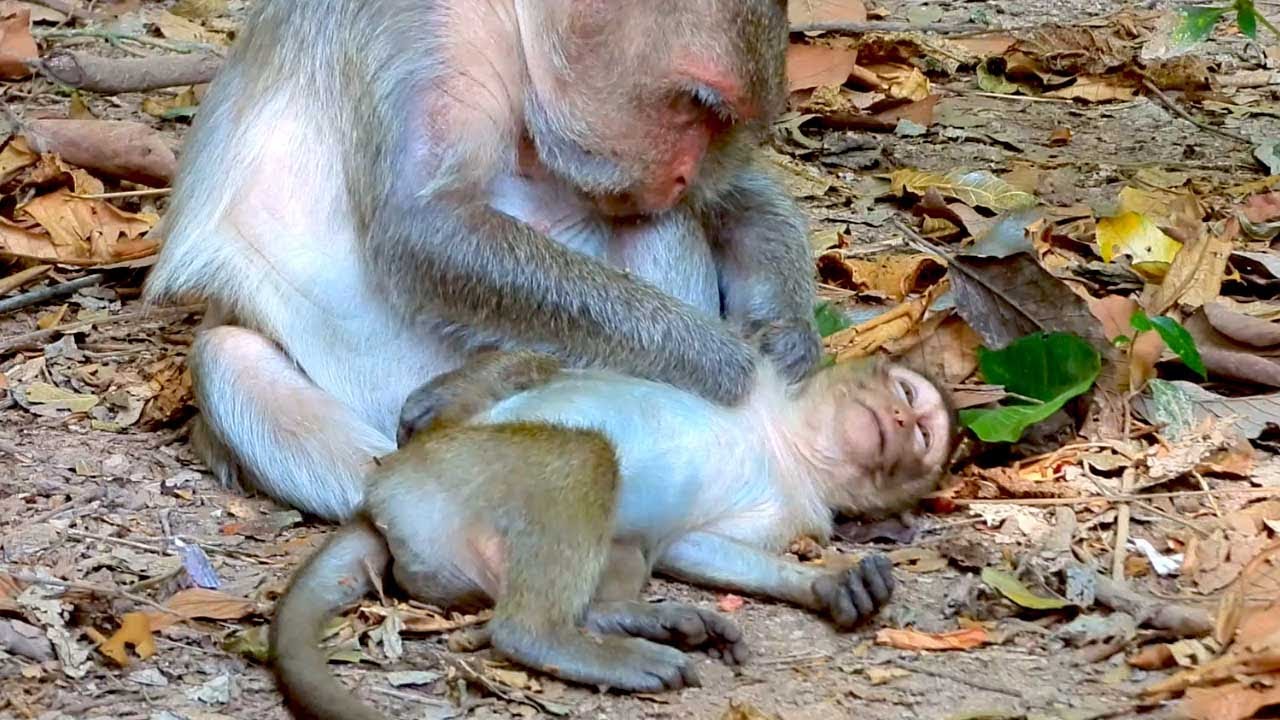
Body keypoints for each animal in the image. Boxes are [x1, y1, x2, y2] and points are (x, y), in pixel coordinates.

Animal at [142, 0, 821, 522]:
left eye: (717, 121)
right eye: (699, 104)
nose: (682, 174)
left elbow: (725, 198)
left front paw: (786, 331)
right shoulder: (427, 25)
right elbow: (426, 227)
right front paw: (730, 360)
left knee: (657, 221)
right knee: (228, 359)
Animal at [270, 352, 954, 719]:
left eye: (924, 435)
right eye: (904, 392)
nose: (900, 420)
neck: (784, 446)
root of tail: (382, 502)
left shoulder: (790, 511)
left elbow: (692, 545)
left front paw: (827, 584)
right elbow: (558, 369)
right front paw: (442, 393)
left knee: (618, 529)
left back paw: (625, 620)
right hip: (456, 466)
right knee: (586, 456)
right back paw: (558, 635)